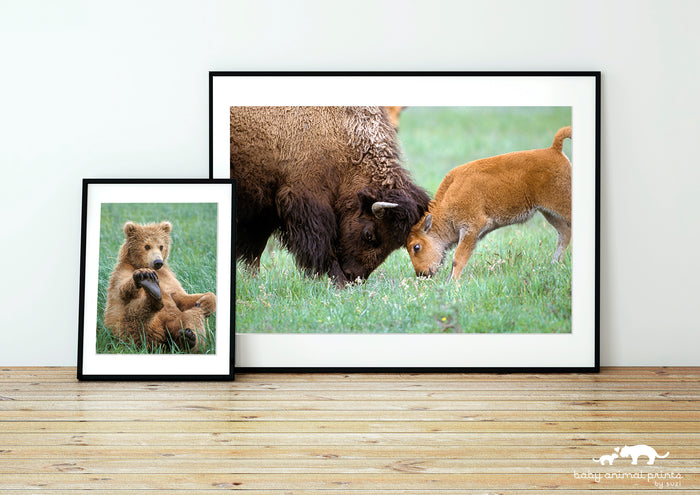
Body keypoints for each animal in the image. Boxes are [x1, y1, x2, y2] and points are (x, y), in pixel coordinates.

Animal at [103, 221, 216, 352]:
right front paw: (144, 275)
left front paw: (206, 302)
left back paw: (189, 339)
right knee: (136, 317)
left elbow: (182, 298)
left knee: (193, 315)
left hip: (176, 322)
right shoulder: (122, 272)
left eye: (161, 246)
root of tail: (162, 339)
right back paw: (153, 292)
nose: (158, 262)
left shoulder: (168, 279)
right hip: (126, 330)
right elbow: (123, 290)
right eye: (147, 246)